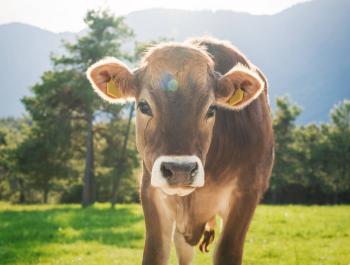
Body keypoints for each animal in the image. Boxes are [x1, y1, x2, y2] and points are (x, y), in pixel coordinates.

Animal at [87, 37, 274, 264]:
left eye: (211, 109)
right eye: (144, 106)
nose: (180, 171)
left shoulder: (246, 194)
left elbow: (227, 252)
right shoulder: (151, 193)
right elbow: (156, 253)